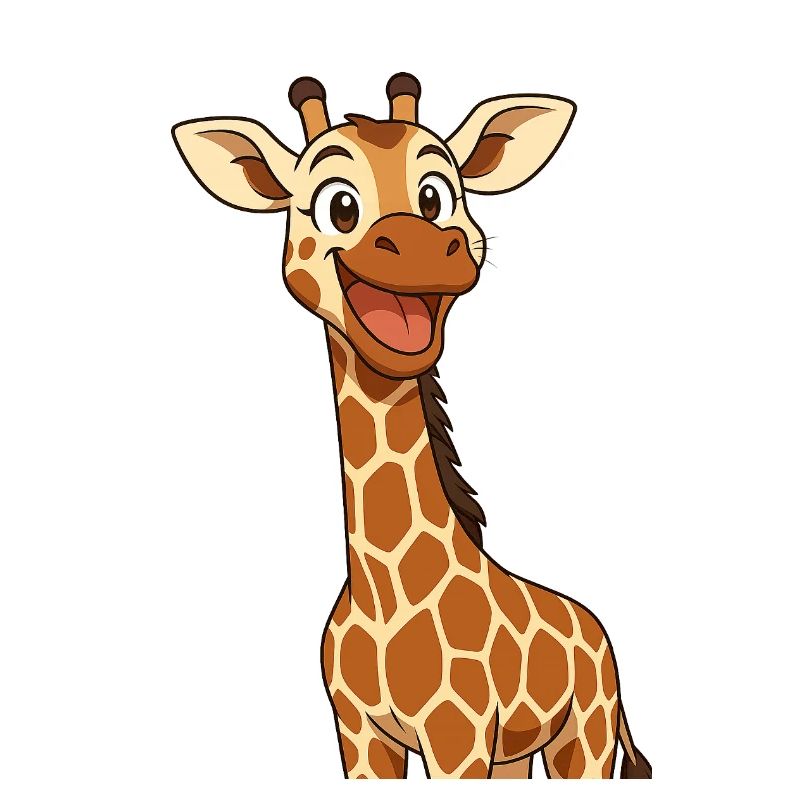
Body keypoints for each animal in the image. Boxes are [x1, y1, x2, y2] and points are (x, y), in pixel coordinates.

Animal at [172, 73, 652, 780]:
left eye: (436, 196)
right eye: (338, 205)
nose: (429, 247)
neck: (381, 596)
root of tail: (599, 630)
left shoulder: (459, 736)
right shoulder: (359, 735)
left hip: (584, 735)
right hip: (519, 751)